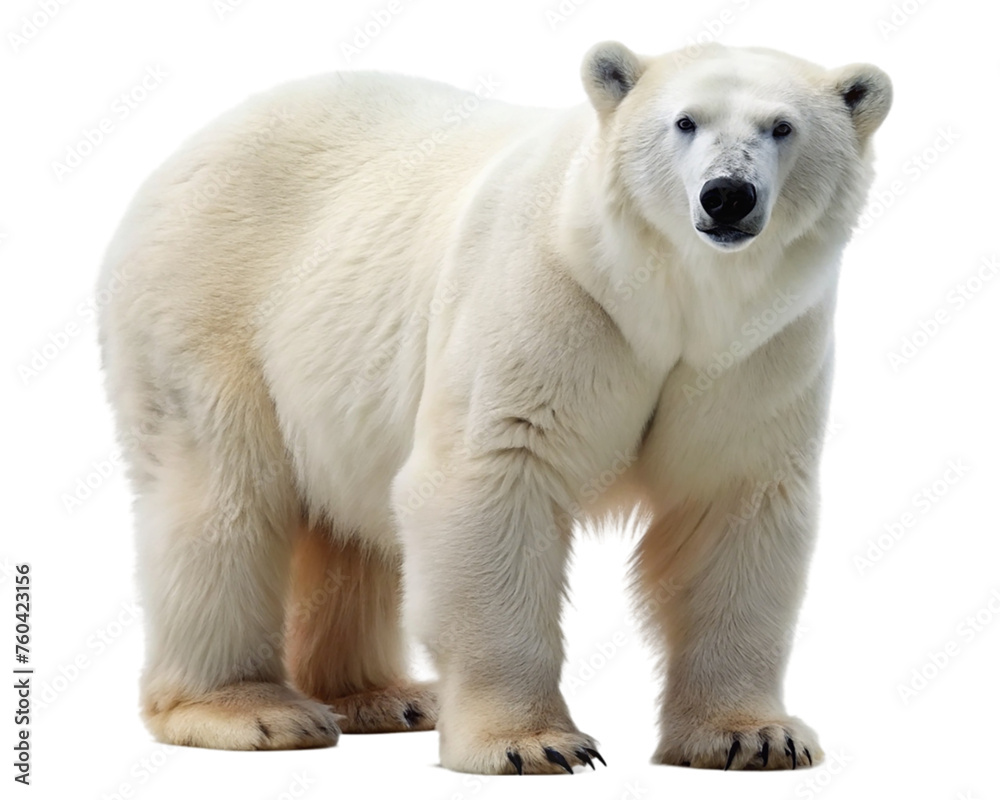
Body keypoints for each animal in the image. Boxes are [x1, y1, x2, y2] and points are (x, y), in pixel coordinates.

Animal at [98, 41, 891, 774]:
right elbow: (493, 476)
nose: (727, 195)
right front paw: (533, 744)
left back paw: (385, 696)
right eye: (684, 121)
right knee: (222, 499)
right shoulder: (555, 296)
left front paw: (754, 736)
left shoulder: (757, 349)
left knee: (348, 530)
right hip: (208, 310)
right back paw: (251, 709)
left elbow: (731, 505)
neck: (669, 297)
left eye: (782, 126)